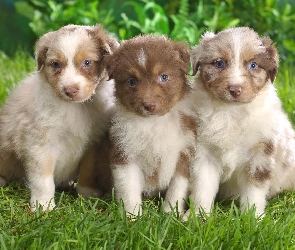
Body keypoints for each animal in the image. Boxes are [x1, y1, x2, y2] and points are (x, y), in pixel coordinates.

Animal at [0, 23, 118, 211]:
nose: (70, 90)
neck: (75, 108)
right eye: (56, 64)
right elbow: (43, 178)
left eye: (87, 62)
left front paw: (87, 193)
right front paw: (43, 205)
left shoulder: (92, 144)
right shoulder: (40, 143)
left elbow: (88, 170)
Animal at [97, 33, 198, 217]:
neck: (154, 124)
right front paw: (132, 217)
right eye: (131, 81)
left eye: (164, 77)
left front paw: (170, 214)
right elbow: (129, 189)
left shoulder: (184, 154)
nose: (149, 105)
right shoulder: (124, 153)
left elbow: (177, 189)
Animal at [185, 27, 295, 218]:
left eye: (253, 65)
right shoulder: (204, 153)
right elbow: (203, 186)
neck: (232, 112)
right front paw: (197, 216)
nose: (235, 89)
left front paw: (253, 219)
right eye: (219, 63)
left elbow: (254, 191)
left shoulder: (260, 154)